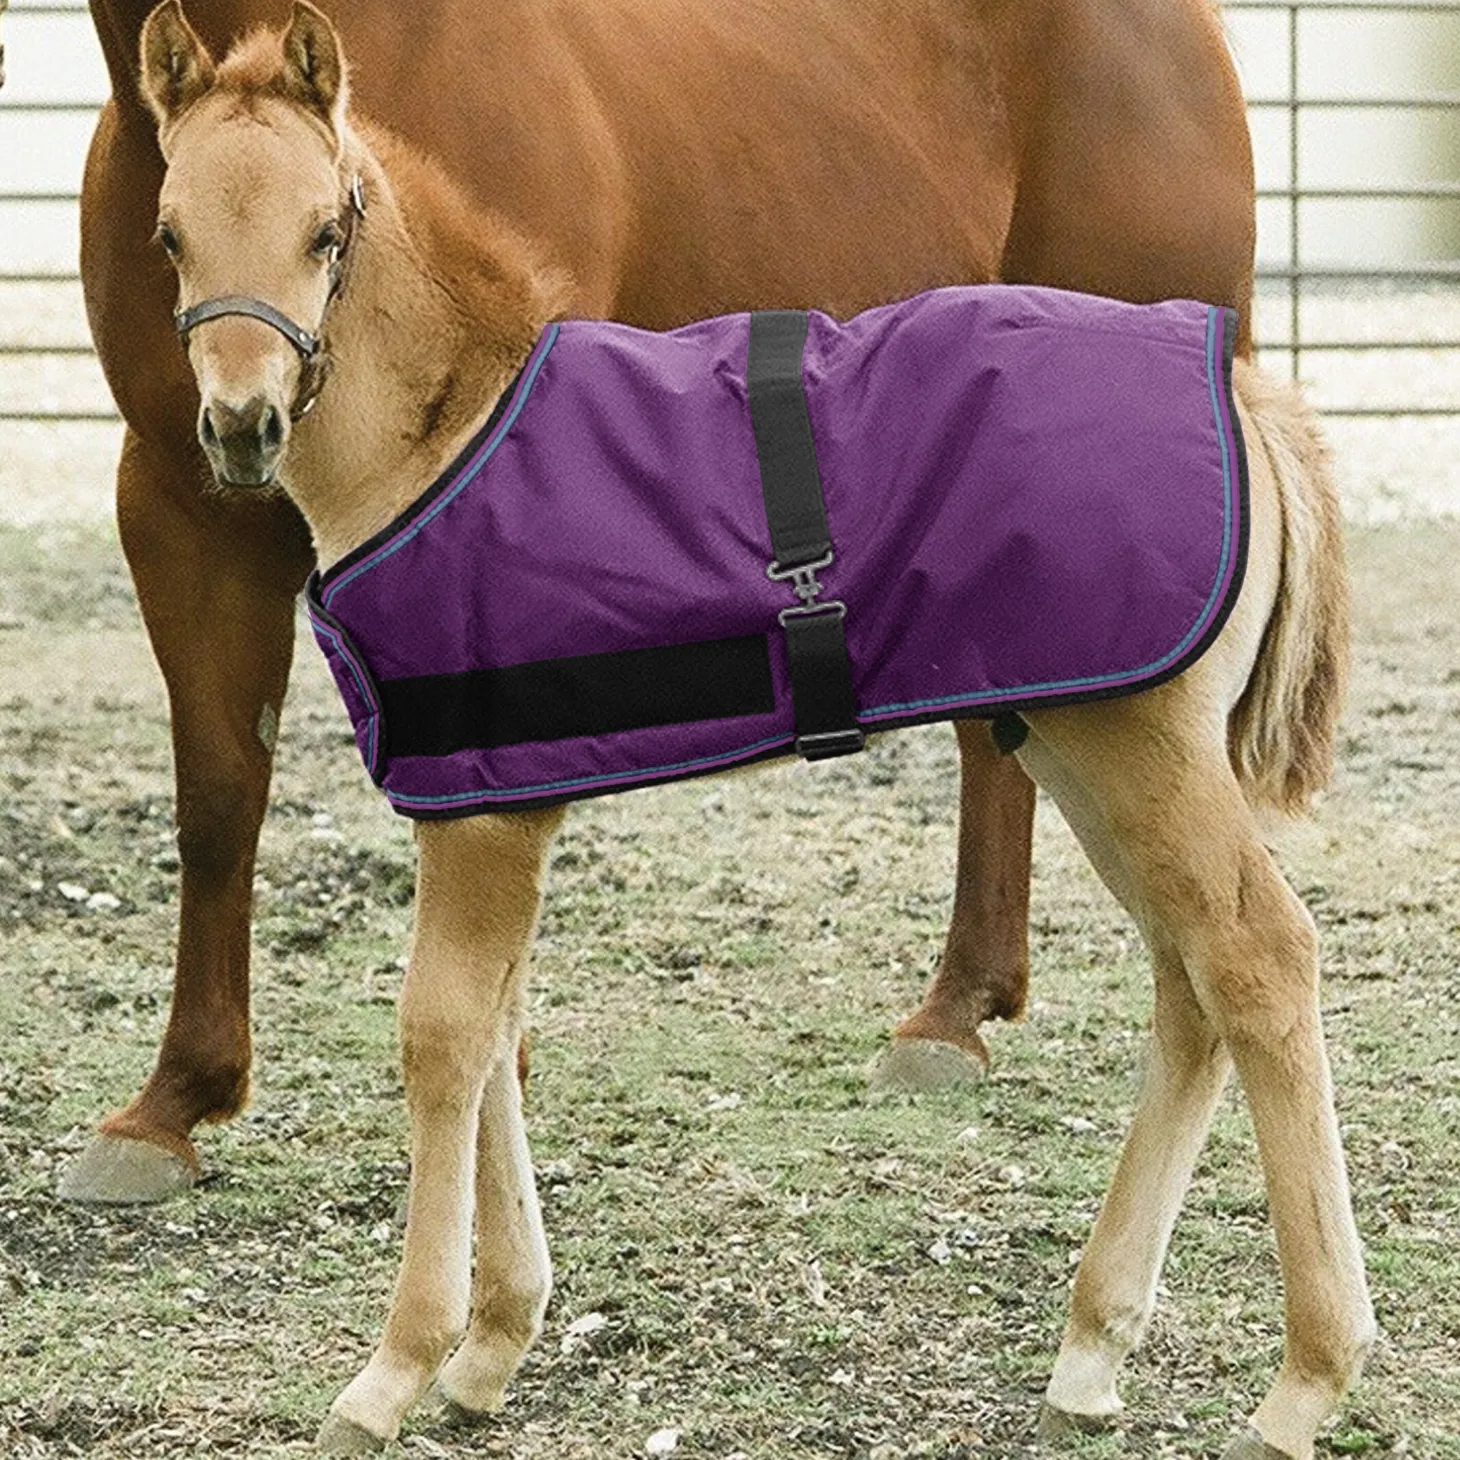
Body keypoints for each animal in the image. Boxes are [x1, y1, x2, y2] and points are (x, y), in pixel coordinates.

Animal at [139, 7, 1373, 1457]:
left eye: (326, 230)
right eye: (169, 232)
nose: (241, 426)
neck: (447, 433)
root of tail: (1244, 393)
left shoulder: (486, 815)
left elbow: (442, 1035)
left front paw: (394, 1368)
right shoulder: (489, 801)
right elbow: (499, 1028)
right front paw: (493, 1346)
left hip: (1142, 746)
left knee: (1260, 959)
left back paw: (1304, 1380)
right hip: (1086, 743)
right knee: (1191, 981)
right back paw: (1091, 1347)